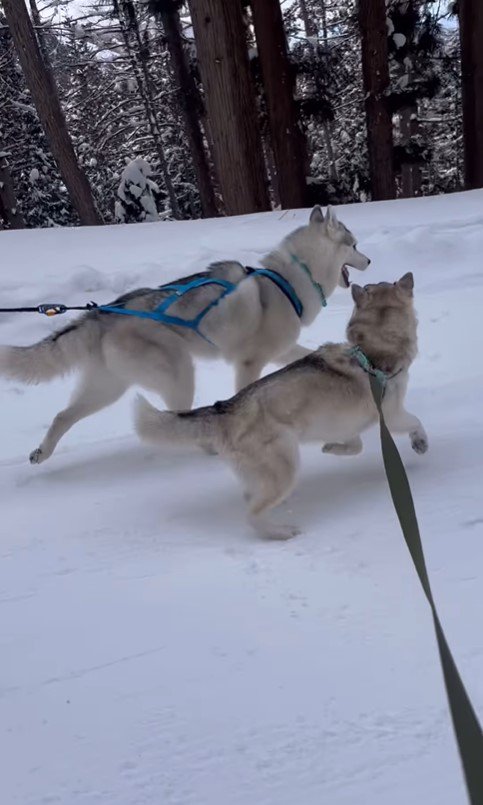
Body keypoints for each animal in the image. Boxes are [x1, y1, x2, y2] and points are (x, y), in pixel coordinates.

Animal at [0, 204, 370, 462]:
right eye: (354, 244)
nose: (368, 260)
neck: (290, 279)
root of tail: (103, 313)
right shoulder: (250, 362)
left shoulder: (282, 350)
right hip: (178, 372)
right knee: (174, 418)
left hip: (108, 387)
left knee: (63, 415)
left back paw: (42, 452)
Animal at [135, 272, 428, 540]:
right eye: (388, 283)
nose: (407, 275)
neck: (371, 351)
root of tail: (226, 408)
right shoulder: (391, 415)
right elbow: (415, 421)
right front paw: (420, 442)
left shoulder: (345, 423)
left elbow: (354, 446)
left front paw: (331, 448)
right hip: (284, 466)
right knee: (252, 515)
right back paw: (280, 532)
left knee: (251, 497)